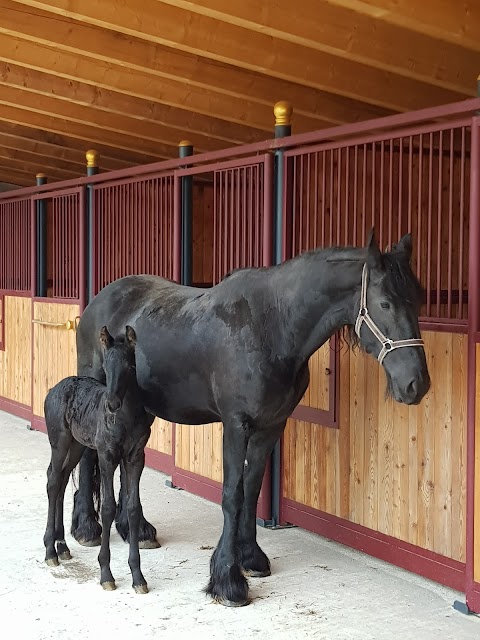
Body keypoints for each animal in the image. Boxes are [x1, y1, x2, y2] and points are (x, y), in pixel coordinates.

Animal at [43, 328, 153, 592]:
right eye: (106, 366)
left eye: (131, 366)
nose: (112, 404)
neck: (125, 418)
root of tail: (54, 388)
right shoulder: (106, 456)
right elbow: (108, 507)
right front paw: (106, 574)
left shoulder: (136, 458)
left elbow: (133, 508)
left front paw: (138, 577)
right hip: (60, 443)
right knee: (53, 481)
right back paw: (50, 550)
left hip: (77, 446)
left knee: (62, 482)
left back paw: (62, 546)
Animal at [69, 231, 430, 604]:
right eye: (385, 303)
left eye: (418, 300)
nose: (416, 384)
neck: (272, 327)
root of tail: (101, 299)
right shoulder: (235, 426)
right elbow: (232, 494)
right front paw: (228, 579)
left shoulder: (270, 426)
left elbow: (252, 489)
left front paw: (250, 557)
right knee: (88, 456)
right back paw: (87, 528)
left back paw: (136, 530)